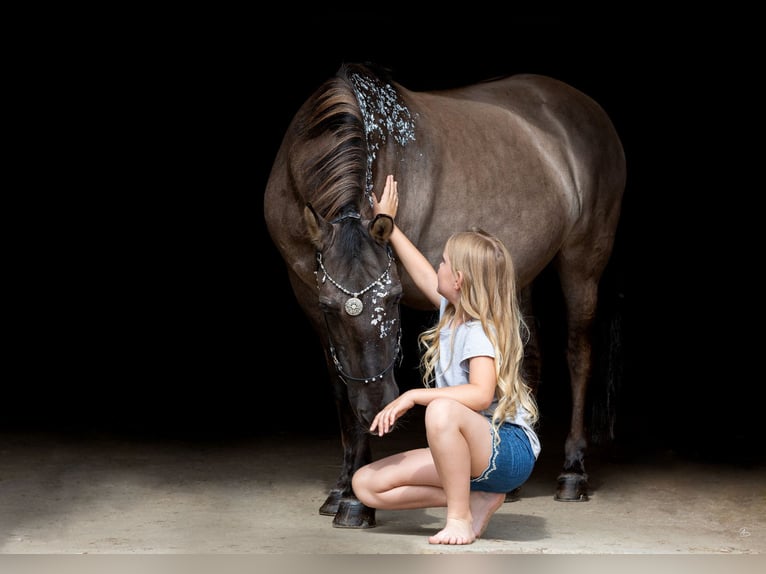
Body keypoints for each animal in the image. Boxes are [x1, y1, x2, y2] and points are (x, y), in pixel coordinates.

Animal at [264, 63, 624, 532]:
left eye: (394, 298)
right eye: (329, 307)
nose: (379, 406)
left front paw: (356, 503)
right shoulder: (307, 295)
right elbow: (342, 387)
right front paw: (343, 488)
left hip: (583, 258)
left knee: (579, 354)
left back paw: (573, 472)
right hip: (519, 271)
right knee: (525, 357)